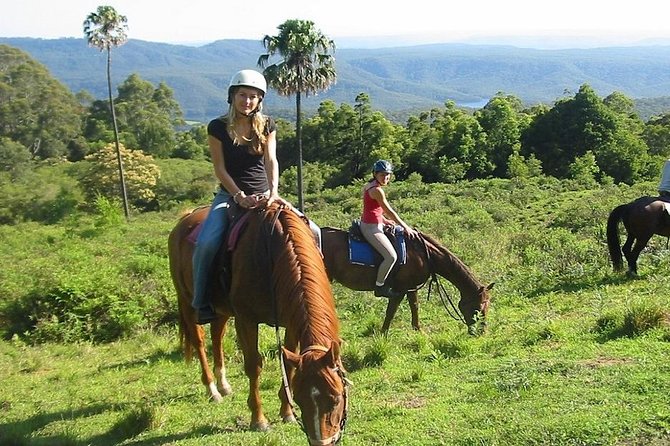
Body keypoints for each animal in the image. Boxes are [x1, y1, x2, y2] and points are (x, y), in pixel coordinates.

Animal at [168, 204, 350, 444]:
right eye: (300, 400)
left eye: (336, 398)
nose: (321, 442)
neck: (272, 255)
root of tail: (185, 217)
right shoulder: (246, 320)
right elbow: (253, 366)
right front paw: (259, 419)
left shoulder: (290, 323)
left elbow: (288, 364)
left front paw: (286, 412)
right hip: (189, 302)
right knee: (199, 342)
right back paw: (212, 389)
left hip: (221, 309)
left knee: (217, 336)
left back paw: (224, 385)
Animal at [322, 226, 496, 334]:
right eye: (478, 308)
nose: (481, 332)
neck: (424, 254)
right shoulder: (401, 289)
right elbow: (391, 311)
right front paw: (383, 333)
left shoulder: (410, 287)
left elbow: (414, 306)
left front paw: (417, 329)